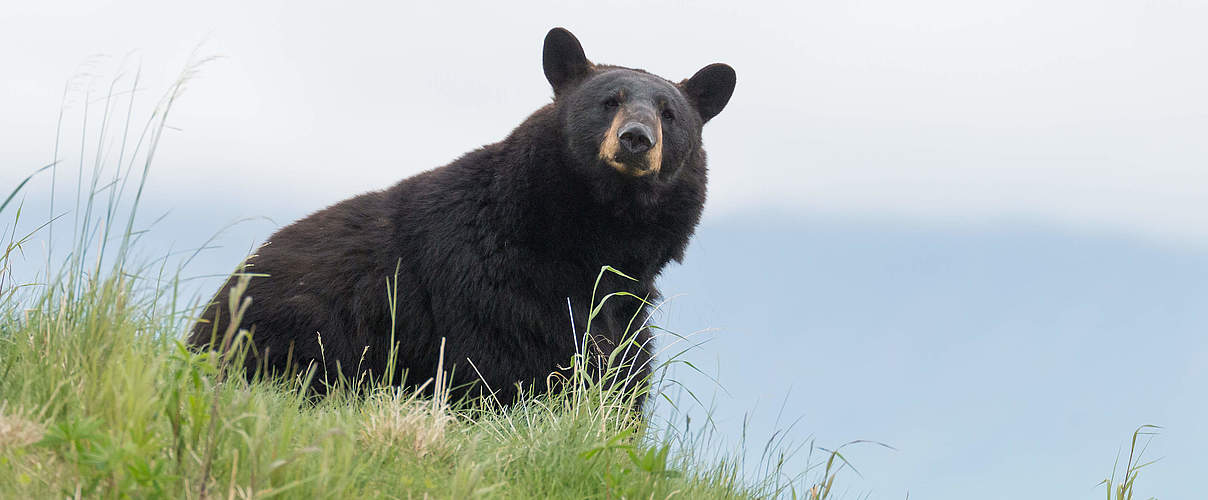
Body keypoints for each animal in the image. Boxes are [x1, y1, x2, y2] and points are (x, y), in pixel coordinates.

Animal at [189, 28, 734, 405]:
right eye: (609, 101)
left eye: (668, 113)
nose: (636, 138)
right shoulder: (491, 281)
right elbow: (511, 364)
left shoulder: (627, 307)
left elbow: (621, 374)